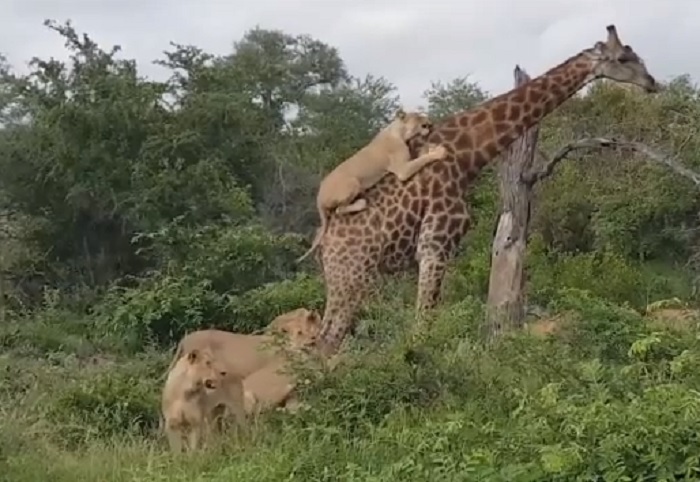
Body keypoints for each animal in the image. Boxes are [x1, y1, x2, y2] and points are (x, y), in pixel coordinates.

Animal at [312, 24, 659, 356]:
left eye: (635, 54)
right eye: (623, 58)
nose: (653, 83)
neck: (468, 156)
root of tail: (325, 240)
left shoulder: (438, 248)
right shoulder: (435, 244)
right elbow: (423, 323)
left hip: (344, 278)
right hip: (353, 275)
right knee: (327, 340)